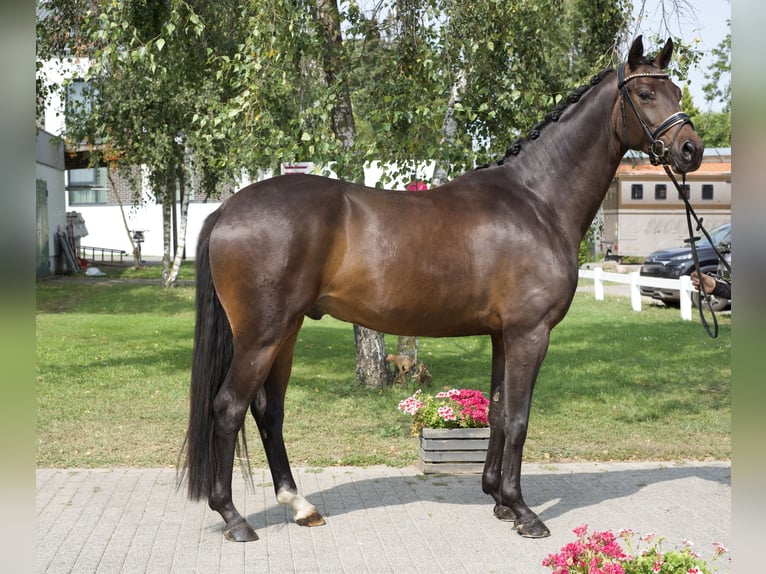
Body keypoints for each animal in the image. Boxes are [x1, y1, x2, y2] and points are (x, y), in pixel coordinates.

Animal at [180, 37, 704, 544]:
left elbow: (498, 413)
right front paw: (524, 513)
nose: (691, 150)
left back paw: (300, 506)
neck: (536, 200)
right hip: (261, 336)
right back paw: (234, 519)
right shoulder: (529, 333)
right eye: (645, 93)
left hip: (284, 333)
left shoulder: (502, 335)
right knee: (228, 408)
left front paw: (498, 499)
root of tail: (227, 209)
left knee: (269, 412)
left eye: (677, 92)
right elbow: (519, 418)